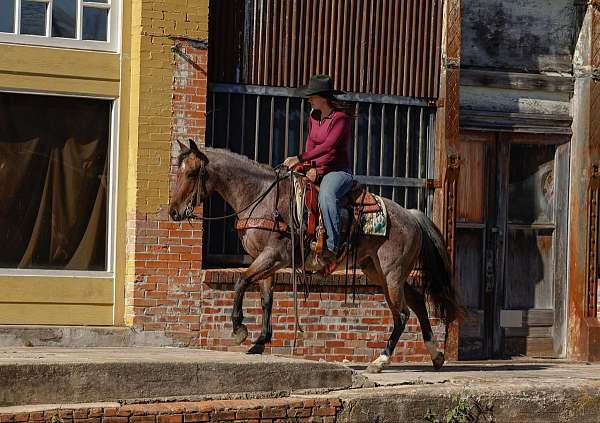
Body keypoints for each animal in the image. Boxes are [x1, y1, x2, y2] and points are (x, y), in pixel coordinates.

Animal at [170, 141, 464, 372]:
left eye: (193, 173)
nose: (174, 212)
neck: (260, 197)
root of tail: (411, 216)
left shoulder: (273, 257)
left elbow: (241, 281)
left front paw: (239, 330)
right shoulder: (264, 260)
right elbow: (266, 299)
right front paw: (260, 342)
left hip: (391, 273)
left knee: (401, 313)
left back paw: (381, 360)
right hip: (378, 271)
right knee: (417, 302)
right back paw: (436, 356)